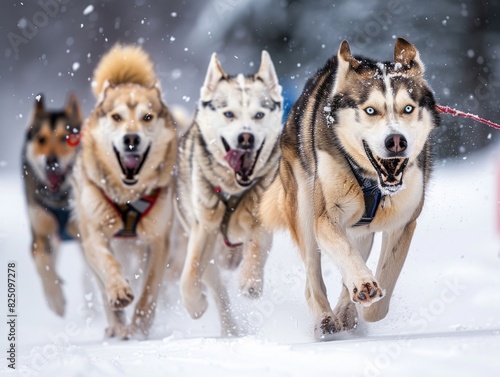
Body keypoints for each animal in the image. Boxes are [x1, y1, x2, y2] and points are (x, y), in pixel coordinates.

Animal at [22, 92, 82, 316]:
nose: (51, 161)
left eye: (66, 138)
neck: (59, 200)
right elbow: (43, 263)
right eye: (41, 139)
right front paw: (55, 298)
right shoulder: (40, 230)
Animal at [72, 44, 178, 338]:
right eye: (117, 117)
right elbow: (109, 264)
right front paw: (119, 292)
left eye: (147, 117)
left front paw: (139, 328)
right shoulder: (94, 234)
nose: (131, 138)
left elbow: (149, 290)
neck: (128, 197)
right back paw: (116, 323)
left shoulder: (158, 240)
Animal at [260, 39, 440, 340]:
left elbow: (381, 293)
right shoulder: (326, 218)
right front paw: (363, 285)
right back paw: (325, 318)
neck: (373, 182)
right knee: (312, 278)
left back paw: (346, 311)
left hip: (362, 231)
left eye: (407, 108)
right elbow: (345, 253)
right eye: (370, 110)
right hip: (305, 212)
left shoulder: (404, 222)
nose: (396, 141)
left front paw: (360, 307)